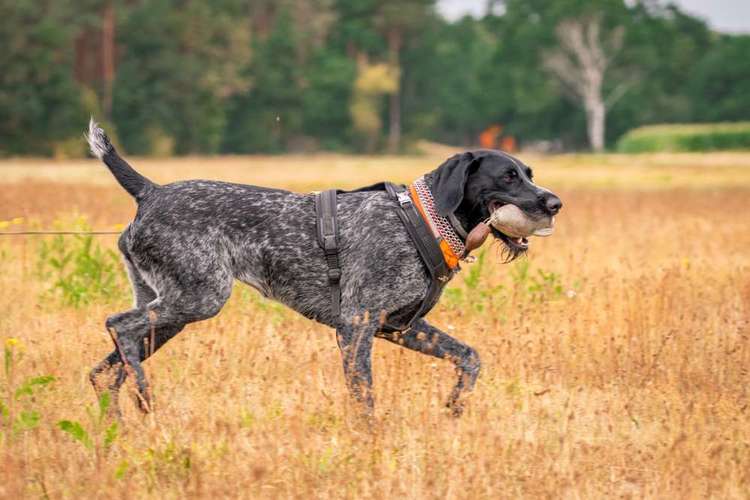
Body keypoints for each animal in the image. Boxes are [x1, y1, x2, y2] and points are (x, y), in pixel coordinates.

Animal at [85, 119, 560, 416]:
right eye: (508, 177)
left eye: (528, 172)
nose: (554, 203)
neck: (425, 221)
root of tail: (150, 191)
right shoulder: (356, 327)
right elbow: (365, 401)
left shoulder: (400, 328)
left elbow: (470, 358)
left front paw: (456, 405)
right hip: (197, 298)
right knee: (117, 326)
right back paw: (144, 396)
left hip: (170, 313)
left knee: (104, 372)